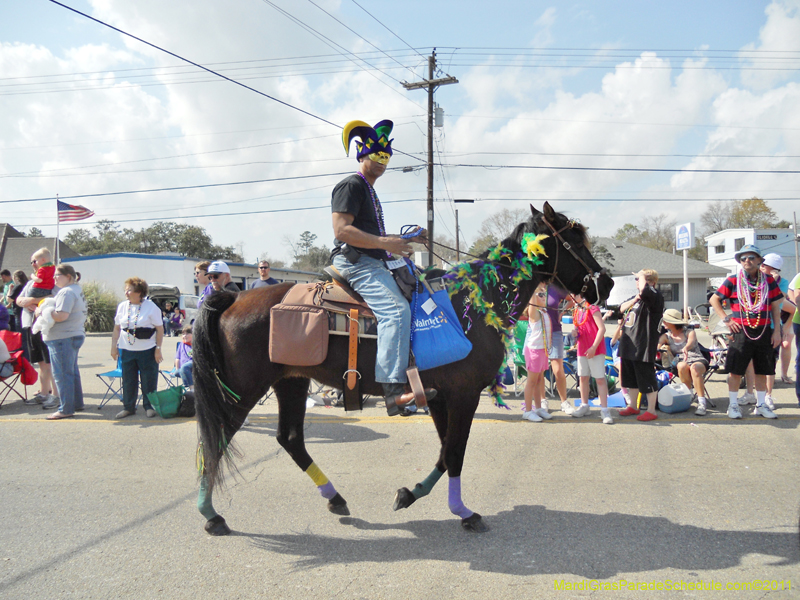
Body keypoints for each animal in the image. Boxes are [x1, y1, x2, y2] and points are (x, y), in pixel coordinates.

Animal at [192, 203, 612, 536]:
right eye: (575, 242)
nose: (605, 283)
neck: (474, 303)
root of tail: (232, 297)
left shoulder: (441, 397)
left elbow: (444, 454)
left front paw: (411, 494)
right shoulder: (463, 395)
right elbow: (454, 453)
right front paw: (463, 512)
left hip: (291, 382)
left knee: (290, 439)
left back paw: (335, 498)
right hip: (242, 391)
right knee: (214, 442)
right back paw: (210, 515)